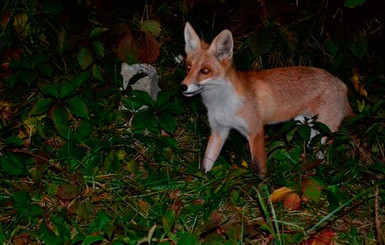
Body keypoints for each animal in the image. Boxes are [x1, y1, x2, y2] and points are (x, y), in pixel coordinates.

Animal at [180, 22, 352, 176]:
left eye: (205, 71)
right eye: (188, 67)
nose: (183, 87)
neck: (223, 103)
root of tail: (339, 82)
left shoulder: (255, 131)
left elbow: (259, 169)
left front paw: (263, 189)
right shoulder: (219, 131)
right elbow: (206, 165)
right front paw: (202, 180)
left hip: (325, 132)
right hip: (308, 127)